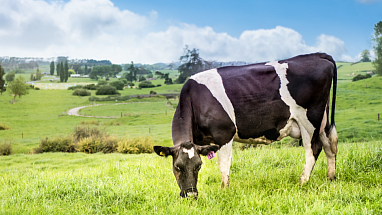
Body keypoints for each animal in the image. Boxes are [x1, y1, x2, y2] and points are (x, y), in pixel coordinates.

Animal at [152, 52, 338, 198]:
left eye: (199, 166)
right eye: (178, 167)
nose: (191, 195)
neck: (196, 99)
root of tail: (317, 55)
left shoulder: (224, 134)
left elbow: (224, 166)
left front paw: (224, 191)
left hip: (309, 120)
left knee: (313, 150)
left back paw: (302, 182)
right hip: (322, 119)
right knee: (330, 145)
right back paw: (331, 178)